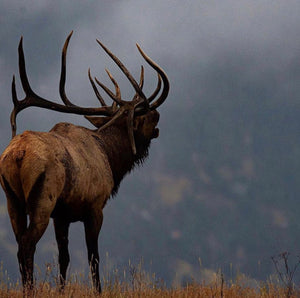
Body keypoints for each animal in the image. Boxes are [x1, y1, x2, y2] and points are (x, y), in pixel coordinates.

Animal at [0, 31, 169, 292]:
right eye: (146, 116)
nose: (158, 116)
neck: (111, 157)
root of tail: (19, 154)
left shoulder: (62, 216)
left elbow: (64, 257)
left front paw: (61, 290)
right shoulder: (95, 207)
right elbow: (93, 257)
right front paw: (98, 290)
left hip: (12, 199)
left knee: (19, 243)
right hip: (42, 198)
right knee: (27, 244)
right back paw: (30, 290)